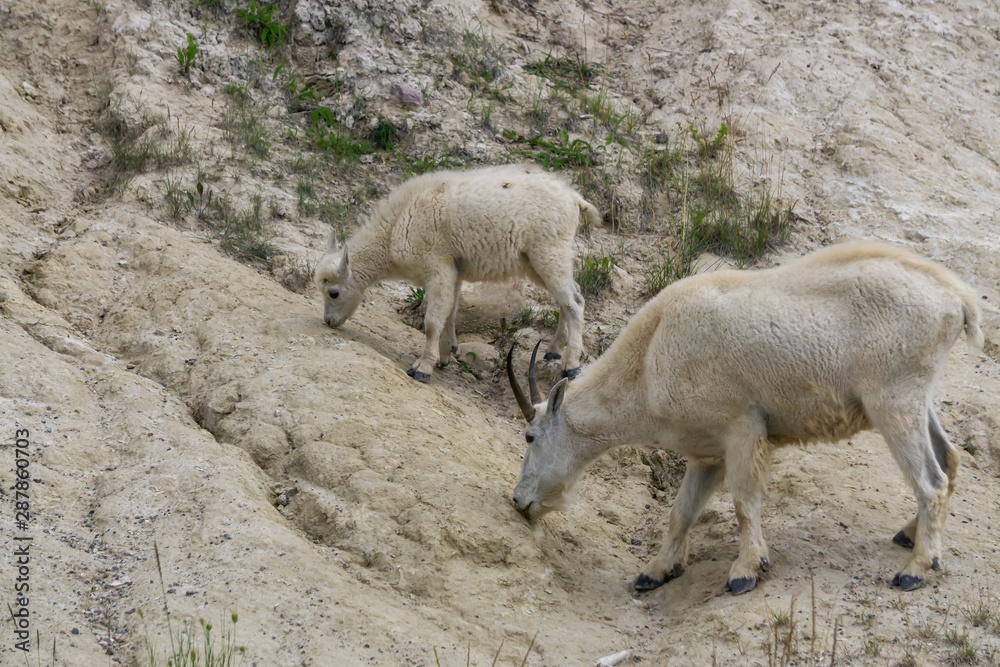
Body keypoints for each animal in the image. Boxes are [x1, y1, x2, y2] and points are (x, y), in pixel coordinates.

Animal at [315, 164, 600, 381]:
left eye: (333, 292)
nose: (329, 321)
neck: (395, 229)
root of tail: (575, 199)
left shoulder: (438, 268)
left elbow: (432, 322)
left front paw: (422, 368)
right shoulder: (454, 271)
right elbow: (450, 314)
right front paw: (445, 355)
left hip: (548, 253)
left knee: (574, 303)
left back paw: (570, 365)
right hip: (537, 263)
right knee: (571, 296)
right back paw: (554, 350)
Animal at [507, 242, 983, 594]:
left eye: (530, 437)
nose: (519, 501)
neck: (650, 358)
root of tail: (957, 299)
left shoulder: (741, 428)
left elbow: (743, 502)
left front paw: (746, 570)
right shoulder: (706, 453)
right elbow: (681, 511)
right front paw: (655, 571)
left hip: (893, 402)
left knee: (931, 480)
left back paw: (916, 568)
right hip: (918, 400)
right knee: (950, 458)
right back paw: (911, 535)